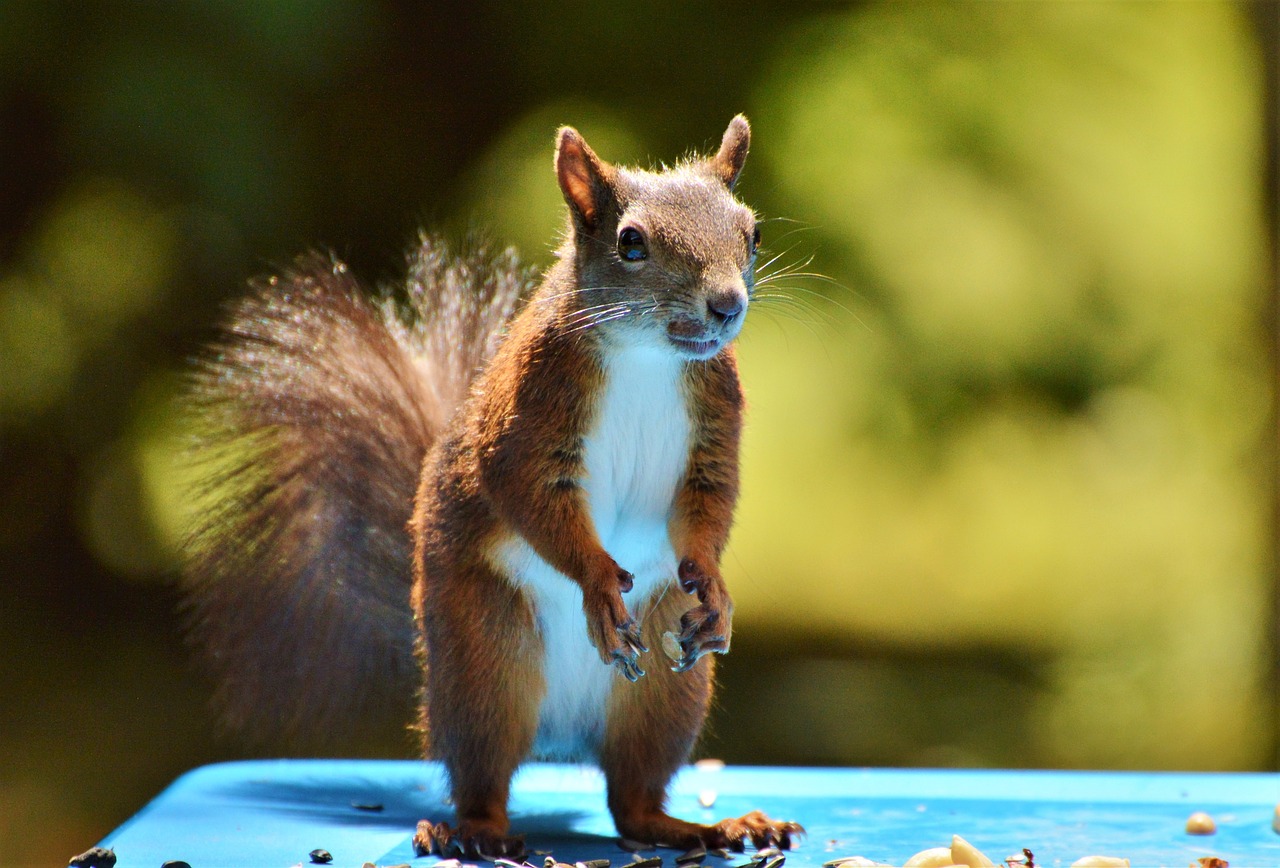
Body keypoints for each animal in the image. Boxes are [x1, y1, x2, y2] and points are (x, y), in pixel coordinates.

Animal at [180, 117, 798, 865]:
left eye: (752, 233)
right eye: (631, 242)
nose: (728, 304)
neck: (649, 357)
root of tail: (560, 736)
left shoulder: (713, 426)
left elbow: (709, 506)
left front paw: (714, 587)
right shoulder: (527, 420)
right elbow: (533, 500)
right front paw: (597, 583)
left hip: (667, 690)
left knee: (632, 800)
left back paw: (706, 827)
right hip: (486, 664)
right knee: (486, 774)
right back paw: (474, 831)